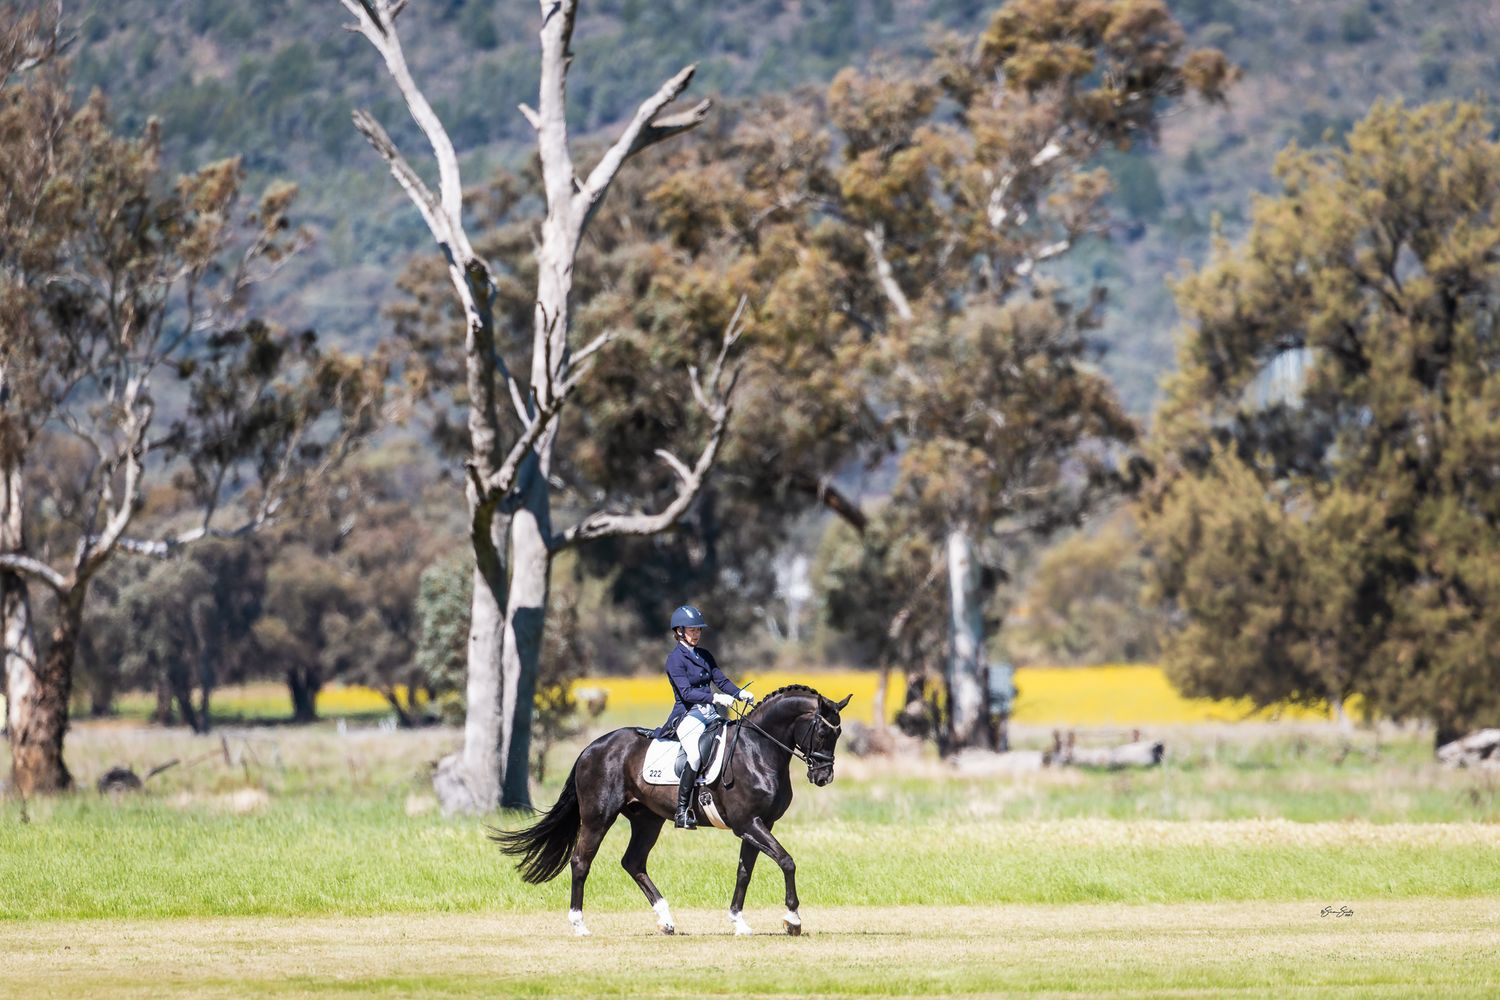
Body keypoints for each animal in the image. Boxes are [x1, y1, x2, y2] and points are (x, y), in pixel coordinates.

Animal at [491, 684, 850, 937]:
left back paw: (666, 920)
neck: (757, 750)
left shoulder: (761, 824)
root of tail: (592, 747)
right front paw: (793, 920)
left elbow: (744, 872)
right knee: (581, 861)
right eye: (822, 731)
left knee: (633, 862)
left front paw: (739, 922)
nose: (823, 777)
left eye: (839, 733)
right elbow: (786, 861)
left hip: (647, 820)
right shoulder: (748, 823)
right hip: (597, 817)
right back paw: (579, 925)